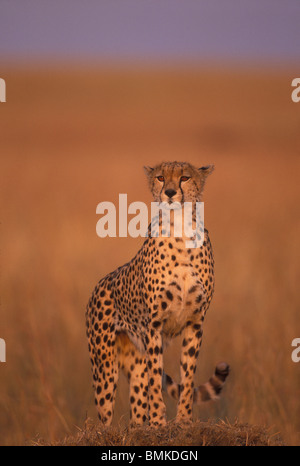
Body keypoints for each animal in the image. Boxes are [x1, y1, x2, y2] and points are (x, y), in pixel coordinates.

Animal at [86, 161, 230, 426]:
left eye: (185, 178)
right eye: (161, 177)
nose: (170, 193)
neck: (181, 229)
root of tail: (100, 283)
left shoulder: (195, 322)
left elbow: (187, 376)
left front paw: (183, 420)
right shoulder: (153, 325)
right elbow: (155, 379)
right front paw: (157, 423)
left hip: (134, 359)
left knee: (136, 410)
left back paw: (139, 427)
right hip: (104, 364)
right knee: (105, 413)